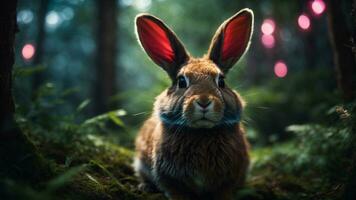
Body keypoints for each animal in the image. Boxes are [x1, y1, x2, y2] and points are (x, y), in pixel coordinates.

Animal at [133, 8, 253, 200]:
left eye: (221, 81)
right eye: (182, 81)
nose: (203, 101)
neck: (201, 133)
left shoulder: (230, 178)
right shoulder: (168, 178)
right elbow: (176, 191)